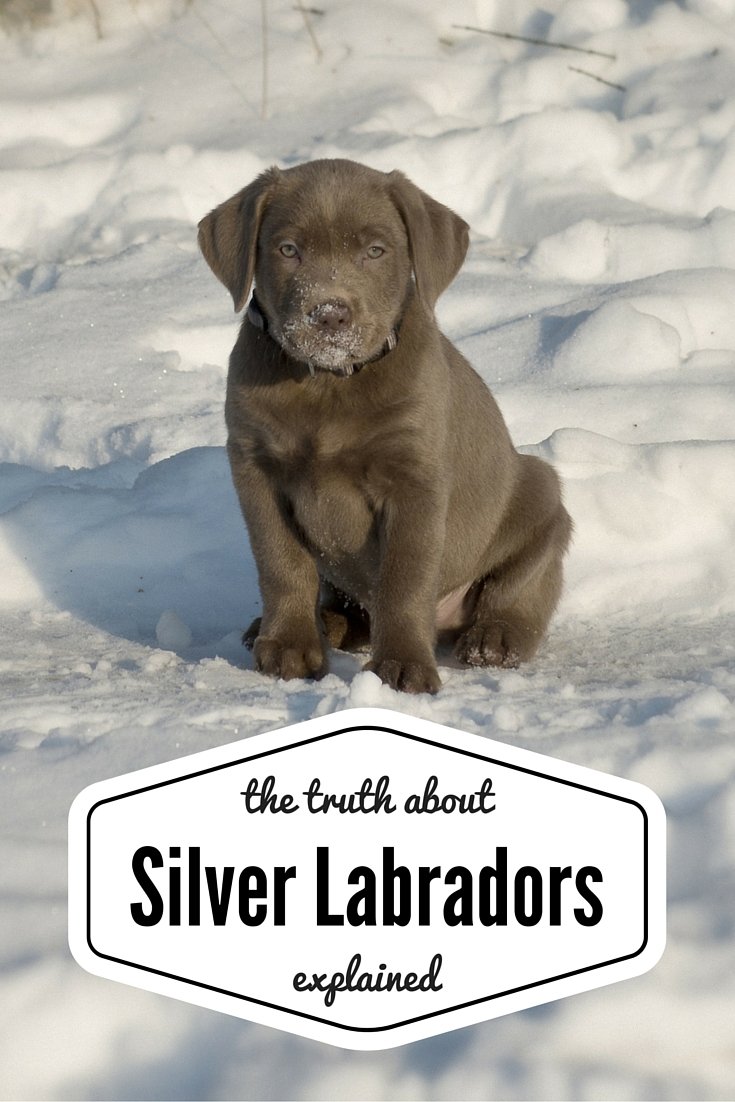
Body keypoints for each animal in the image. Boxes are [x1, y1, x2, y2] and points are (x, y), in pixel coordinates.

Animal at [198, 159, 573, 692]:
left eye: (375, 251)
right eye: (288, 249)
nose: (329, 314)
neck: (328, 384)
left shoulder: (414, 481)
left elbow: (404, 579)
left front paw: (402, 666)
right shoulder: (256, 468)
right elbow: (281, 563)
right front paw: (289, 646)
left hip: (541, 496)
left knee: (520, 594)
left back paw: (495, 637)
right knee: (347, 604)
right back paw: (315, 624)